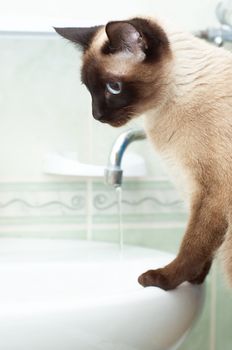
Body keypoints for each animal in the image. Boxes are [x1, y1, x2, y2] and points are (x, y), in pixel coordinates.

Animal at [54, 16, 232, 290]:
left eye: (114, 87)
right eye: (88, 88)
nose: (96, 115)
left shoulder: (213, 192)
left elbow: (192, 245)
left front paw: (162, 280)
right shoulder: (195, 192)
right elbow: (205, 248)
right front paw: (196, 280)